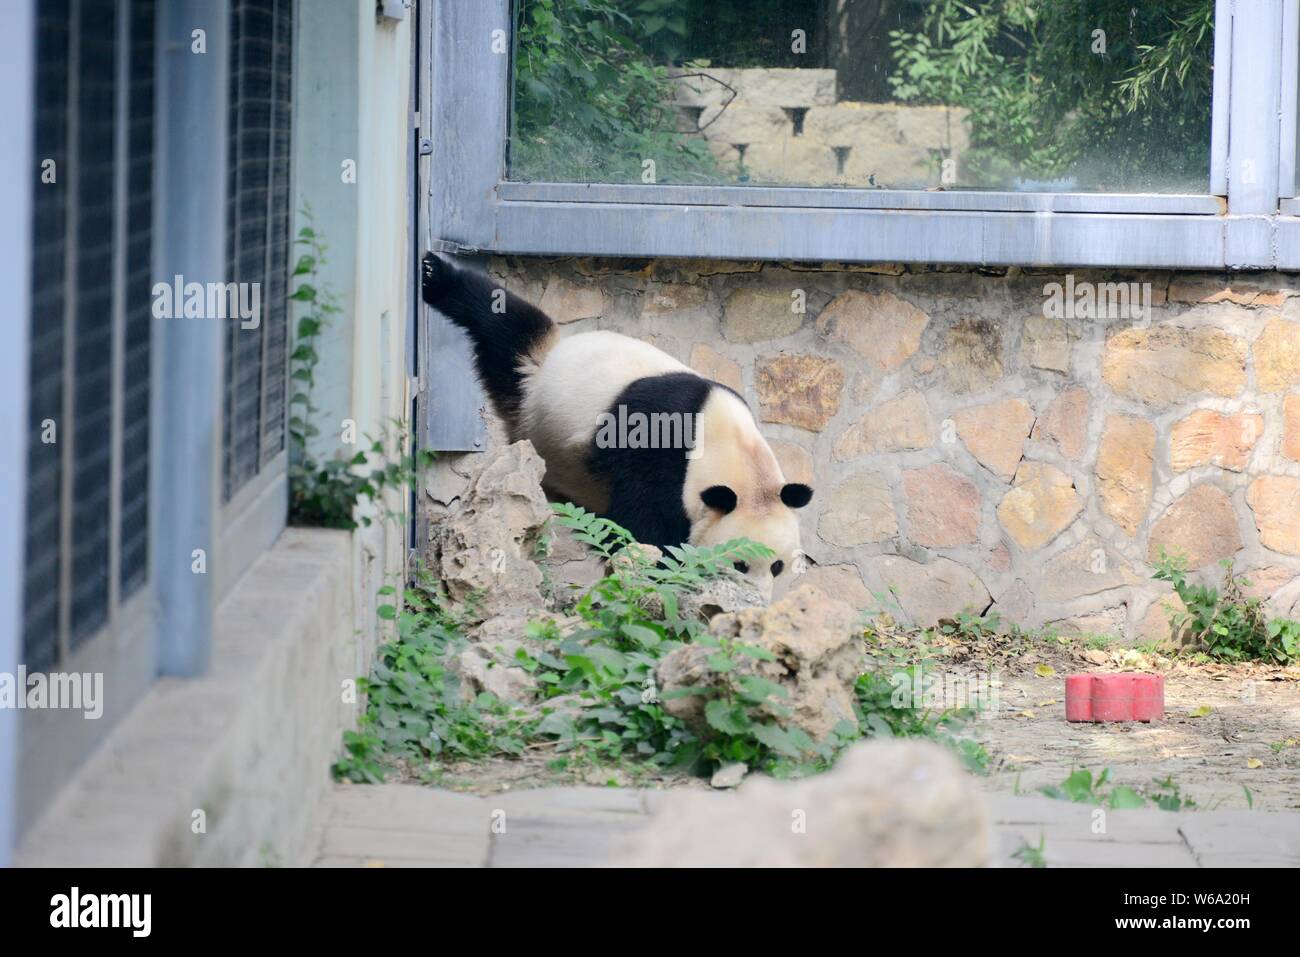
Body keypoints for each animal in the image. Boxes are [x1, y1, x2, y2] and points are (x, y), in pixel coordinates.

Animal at [423, 254, 811, 598]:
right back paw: (434, 275)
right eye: (739, 564)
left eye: (777, 566)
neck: (727, 442)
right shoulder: (657, 446)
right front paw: (661, 575)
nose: (759, 597)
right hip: (541, 385)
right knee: (499, 319)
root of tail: (546, 360)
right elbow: (643, 523)